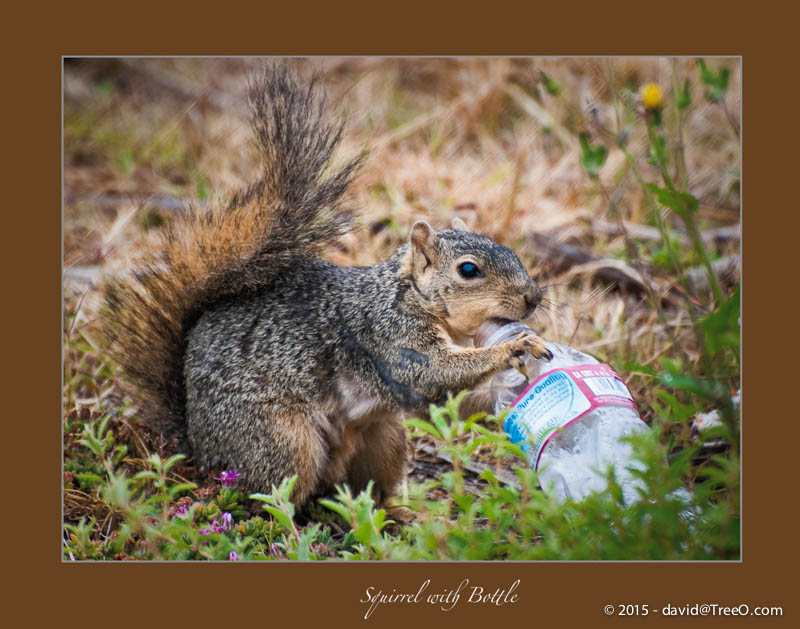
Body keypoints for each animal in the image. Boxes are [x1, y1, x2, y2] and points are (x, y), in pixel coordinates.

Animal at [103, 62, 552, 506]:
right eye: (469, 270)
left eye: (508, 249)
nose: (533, 298)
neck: (408, 296)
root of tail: (199, 448)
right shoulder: (389, 336)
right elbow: (432, 373)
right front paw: (515, 347)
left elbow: (452, 405)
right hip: (280, 440)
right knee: (271, 495)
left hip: (383, 439)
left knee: (361, 490)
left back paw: (394, 511)